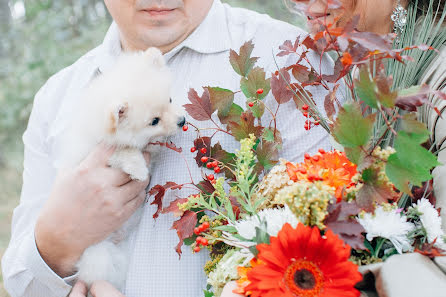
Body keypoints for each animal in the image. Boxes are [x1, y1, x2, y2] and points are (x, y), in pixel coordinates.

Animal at [56, 48, 185, 292]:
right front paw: (137, 167)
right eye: (154, 121)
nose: (182, 120)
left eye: (170, 100)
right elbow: (123, 152)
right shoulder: (91, 153)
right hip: (99, 256)